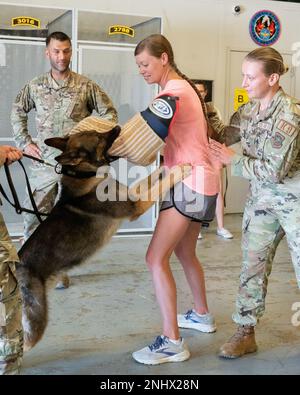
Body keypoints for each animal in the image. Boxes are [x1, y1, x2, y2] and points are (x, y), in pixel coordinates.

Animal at [16, 126, 190, 350]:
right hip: (36, 321)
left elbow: (151, 178)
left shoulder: (133, 195)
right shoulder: (136, 206)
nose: (117, 127)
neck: (86, 174)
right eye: (98, 137)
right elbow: (157, 186)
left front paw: (166, 167)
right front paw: (180, 171)